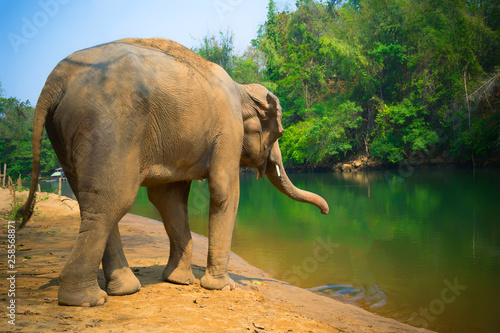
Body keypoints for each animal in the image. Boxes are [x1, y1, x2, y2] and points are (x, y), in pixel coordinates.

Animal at [20, 37, 328, 306]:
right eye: (280, 133)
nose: (326, 213)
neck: (240, 89)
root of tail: (55, 80)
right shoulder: (228, 130)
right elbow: (224, 192)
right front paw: (222, 287)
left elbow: (167, 198)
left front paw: (178, 281)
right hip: (108, 126)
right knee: (112, 201)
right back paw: (86, 301)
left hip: (64, 134)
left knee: (93, 203)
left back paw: (124, 289)